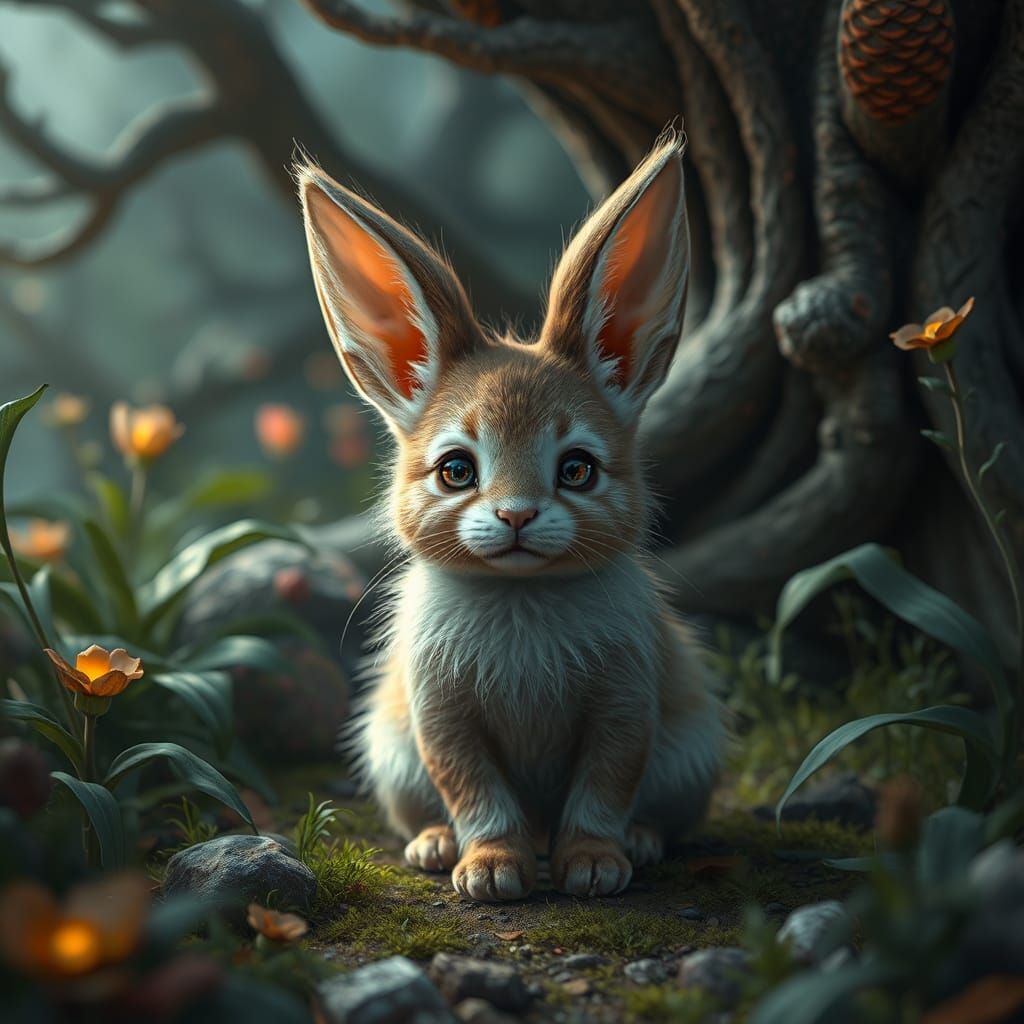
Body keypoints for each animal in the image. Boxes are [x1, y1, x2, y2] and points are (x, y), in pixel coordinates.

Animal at [297, 131, 724, 902]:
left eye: (577, 468)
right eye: (455, 470)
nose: (517, 515)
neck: (523, 593)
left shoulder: (623, 707)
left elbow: (604, 787)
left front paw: (594, 866)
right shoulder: (442, 719)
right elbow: (474, 791)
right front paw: (492, 871)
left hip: (690, 758)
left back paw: (641, 843)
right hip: (393, 756)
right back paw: (435, 846)